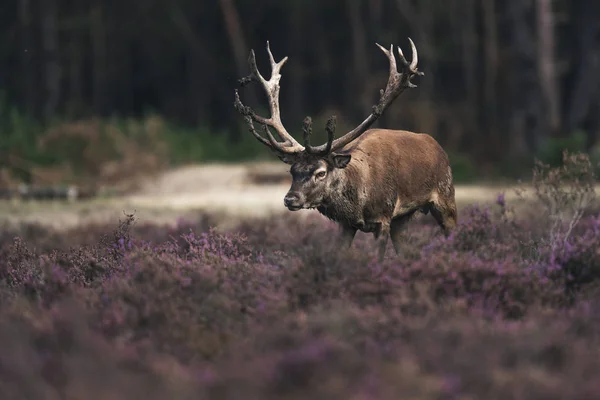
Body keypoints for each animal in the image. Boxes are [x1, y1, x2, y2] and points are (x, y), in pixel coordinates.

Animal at [232, 38, 458, 262]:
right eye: (292, 171)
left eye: (321, 172)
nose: (290, 199)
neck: (358, 205)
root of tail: (437, 146)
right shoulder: (346, 225)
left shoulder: (383, 216)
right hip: (402, 218)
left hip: (445, 196)